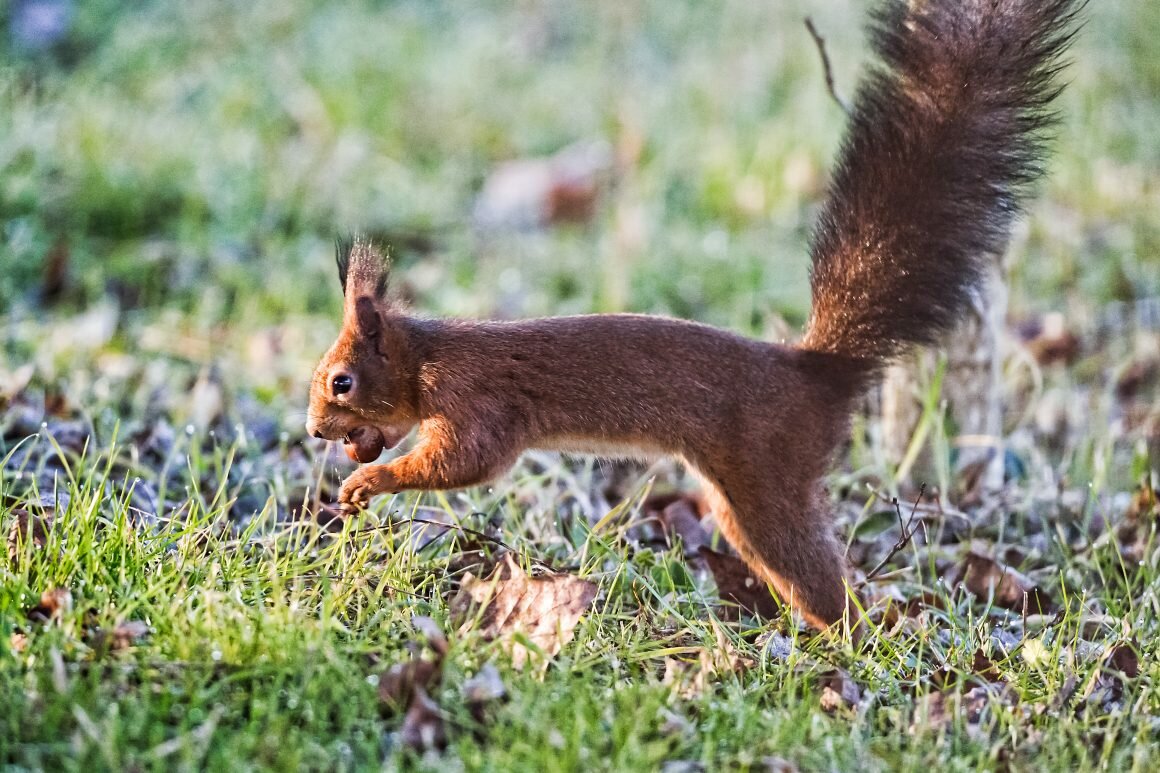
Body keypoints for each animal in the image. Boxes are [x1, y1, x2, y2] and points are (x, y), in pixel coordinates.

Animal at [303, 0, 1081, 631]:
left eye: (341, 381)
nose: (314, 430)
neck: (428, 359)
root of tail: (817, 373)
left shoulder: (477, 403)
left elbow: (465, 462)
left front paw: (367, 482)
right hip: (739, 497)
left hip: (767, 479)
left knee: (817, 576)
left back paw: (845, 643)